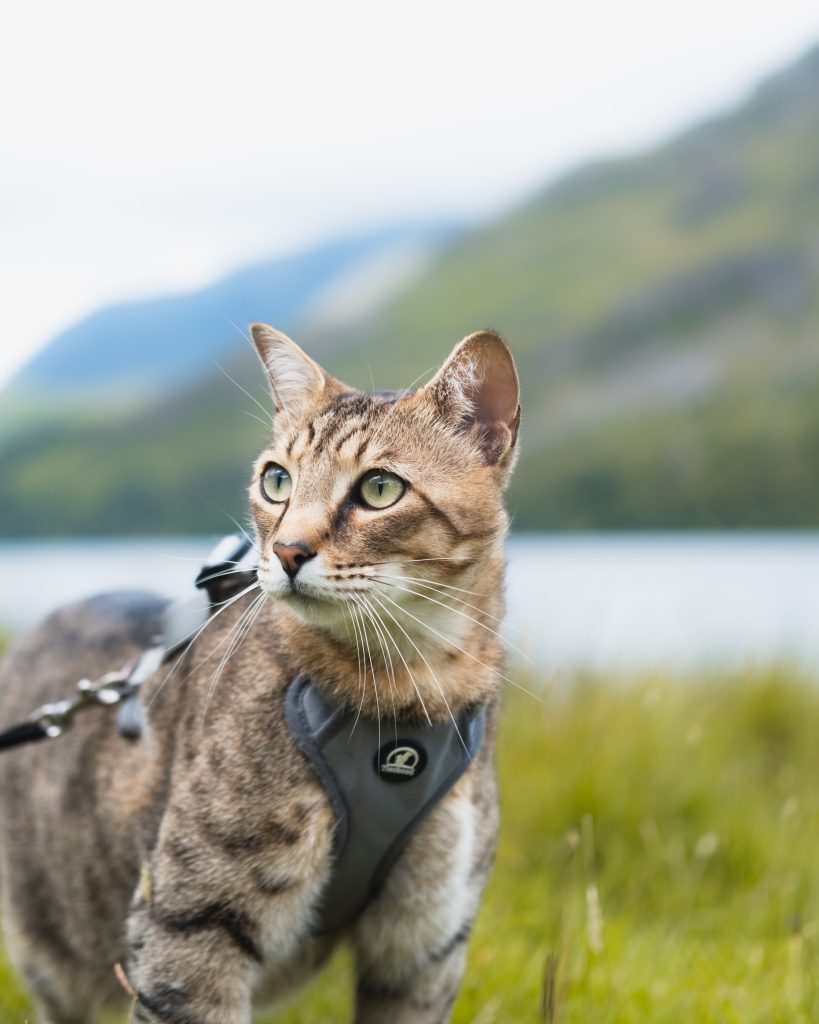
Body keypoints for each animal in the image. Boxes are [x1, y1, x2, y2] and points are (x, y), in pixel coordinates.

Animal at [0, 325, 518, 1024]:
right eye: (277, 480)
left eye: (380, 489)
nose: (286, 549)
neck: (401, 696)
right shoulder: (190, 926)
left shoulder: (424, 942)